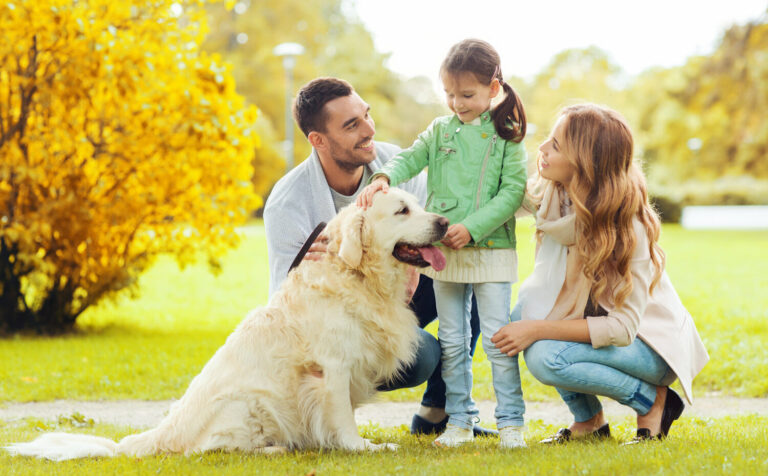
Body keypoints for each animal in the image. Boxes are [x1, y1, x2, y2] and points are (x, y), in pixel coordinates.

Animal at [4, 190, 450, 462]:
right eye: (401, 211)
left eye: (418, 204)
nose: (444, 223)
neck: (357, 276)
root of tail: (161, 433)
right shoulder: (332, 369)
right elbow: (341, 416)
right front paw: (363, 446)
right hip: (246, 403)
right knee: (206, 450)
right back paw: (274, 449)